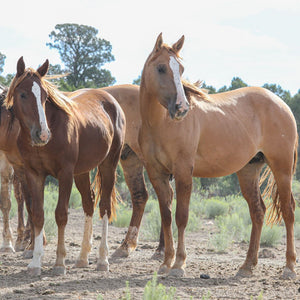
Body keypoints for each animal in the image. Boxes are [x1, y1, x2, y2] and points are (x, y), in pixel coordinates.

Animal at [5, 56, 126, 276]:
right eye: (23, 94)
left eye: (44, 96)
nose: (42, 134)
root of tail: (110, 101)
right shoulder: (34, 174)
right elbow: (37, 214)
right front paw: (35, 263)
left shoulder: (65, 174)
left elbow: (61, 214)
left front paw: (59, 263)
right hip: (82, 172)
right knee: (89, 203)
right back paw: (83, 258)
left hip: (109, 165)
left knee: (104, 206)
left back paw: (102, 259)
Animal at [139, 34, 298, 280]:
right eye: (161, 68)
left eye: (181, 69)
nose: (182, 108)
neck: (159, 124)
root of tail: (281, 103)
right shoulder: (157, 174)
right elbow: (166, 217)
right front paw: (166, 263)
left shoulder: (184, 172)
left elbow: (181, 217)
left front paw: (179, 264)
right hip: (248, 170)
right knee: (258, 212)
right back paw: (247, 266)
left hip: (282, 169)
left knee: (288, 211)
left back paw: (289, 267)